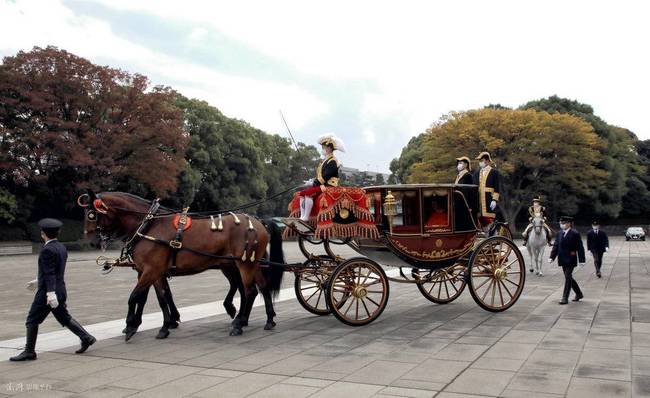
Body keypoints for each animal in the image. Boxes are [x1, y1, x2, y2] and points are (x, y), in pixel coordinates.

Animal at [79, 191, 282, 338]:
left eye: (92, 214)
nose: (91, 242)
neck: (149, 225)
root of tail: (258, 221)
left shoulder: (151, 270)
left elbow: (135, 296)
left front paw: (131, 325)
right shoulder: (152, 271)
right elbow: (160, 298)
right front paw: (164, 325)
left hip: (243, 264)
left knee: (250, 291)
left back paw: (239, 323)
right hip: (249, 264)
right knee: (261, 288)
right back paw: (267, 319)